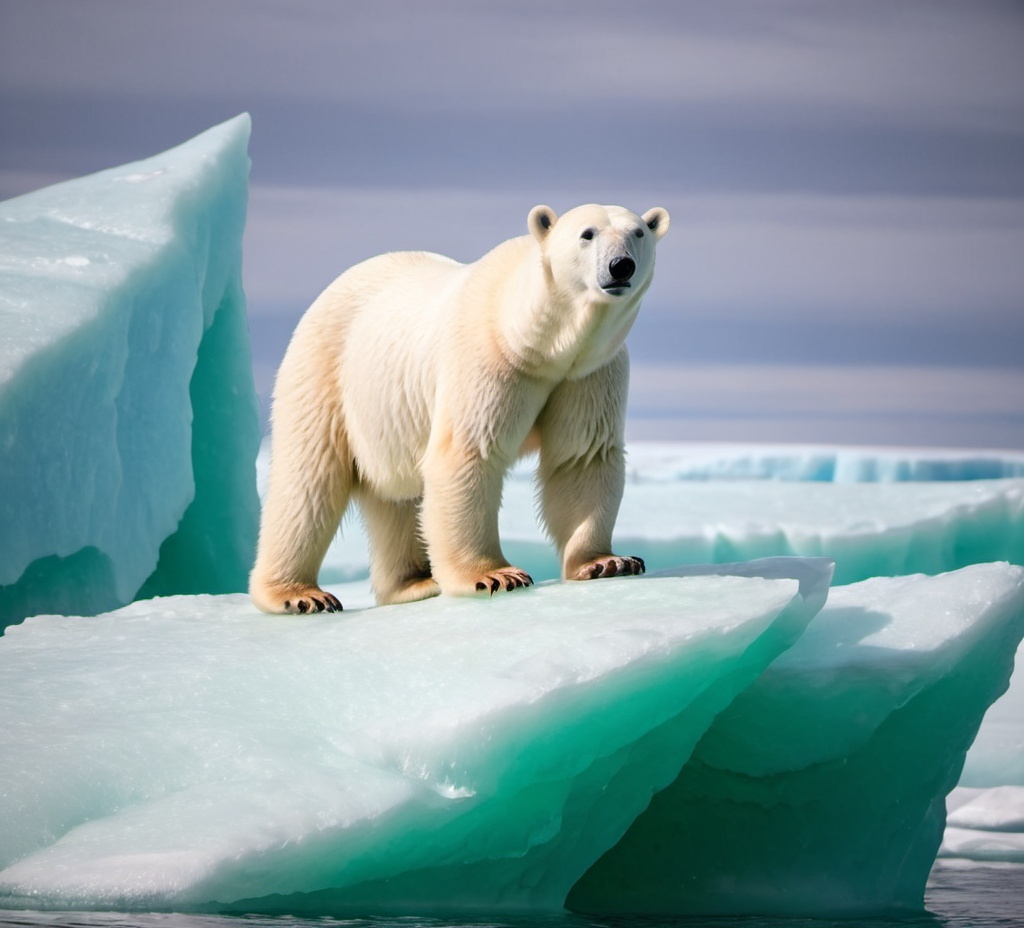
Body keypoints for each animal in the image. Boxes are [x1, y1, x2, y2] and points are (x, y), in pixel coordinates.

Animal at [249, 200, 671, 614]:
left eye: (638, 233)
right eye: (587, 234)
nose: (620, 266)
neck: (539, 341)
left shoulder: (589, 371)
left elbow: (582, 456)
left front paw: (608, 562)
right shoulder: (489, 358)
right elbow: (469, 452)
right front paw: (495, 576)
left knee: (398, 497)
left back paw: (414, 582)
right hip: (324, 372)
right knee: (309, 481)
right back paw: (300, 594)